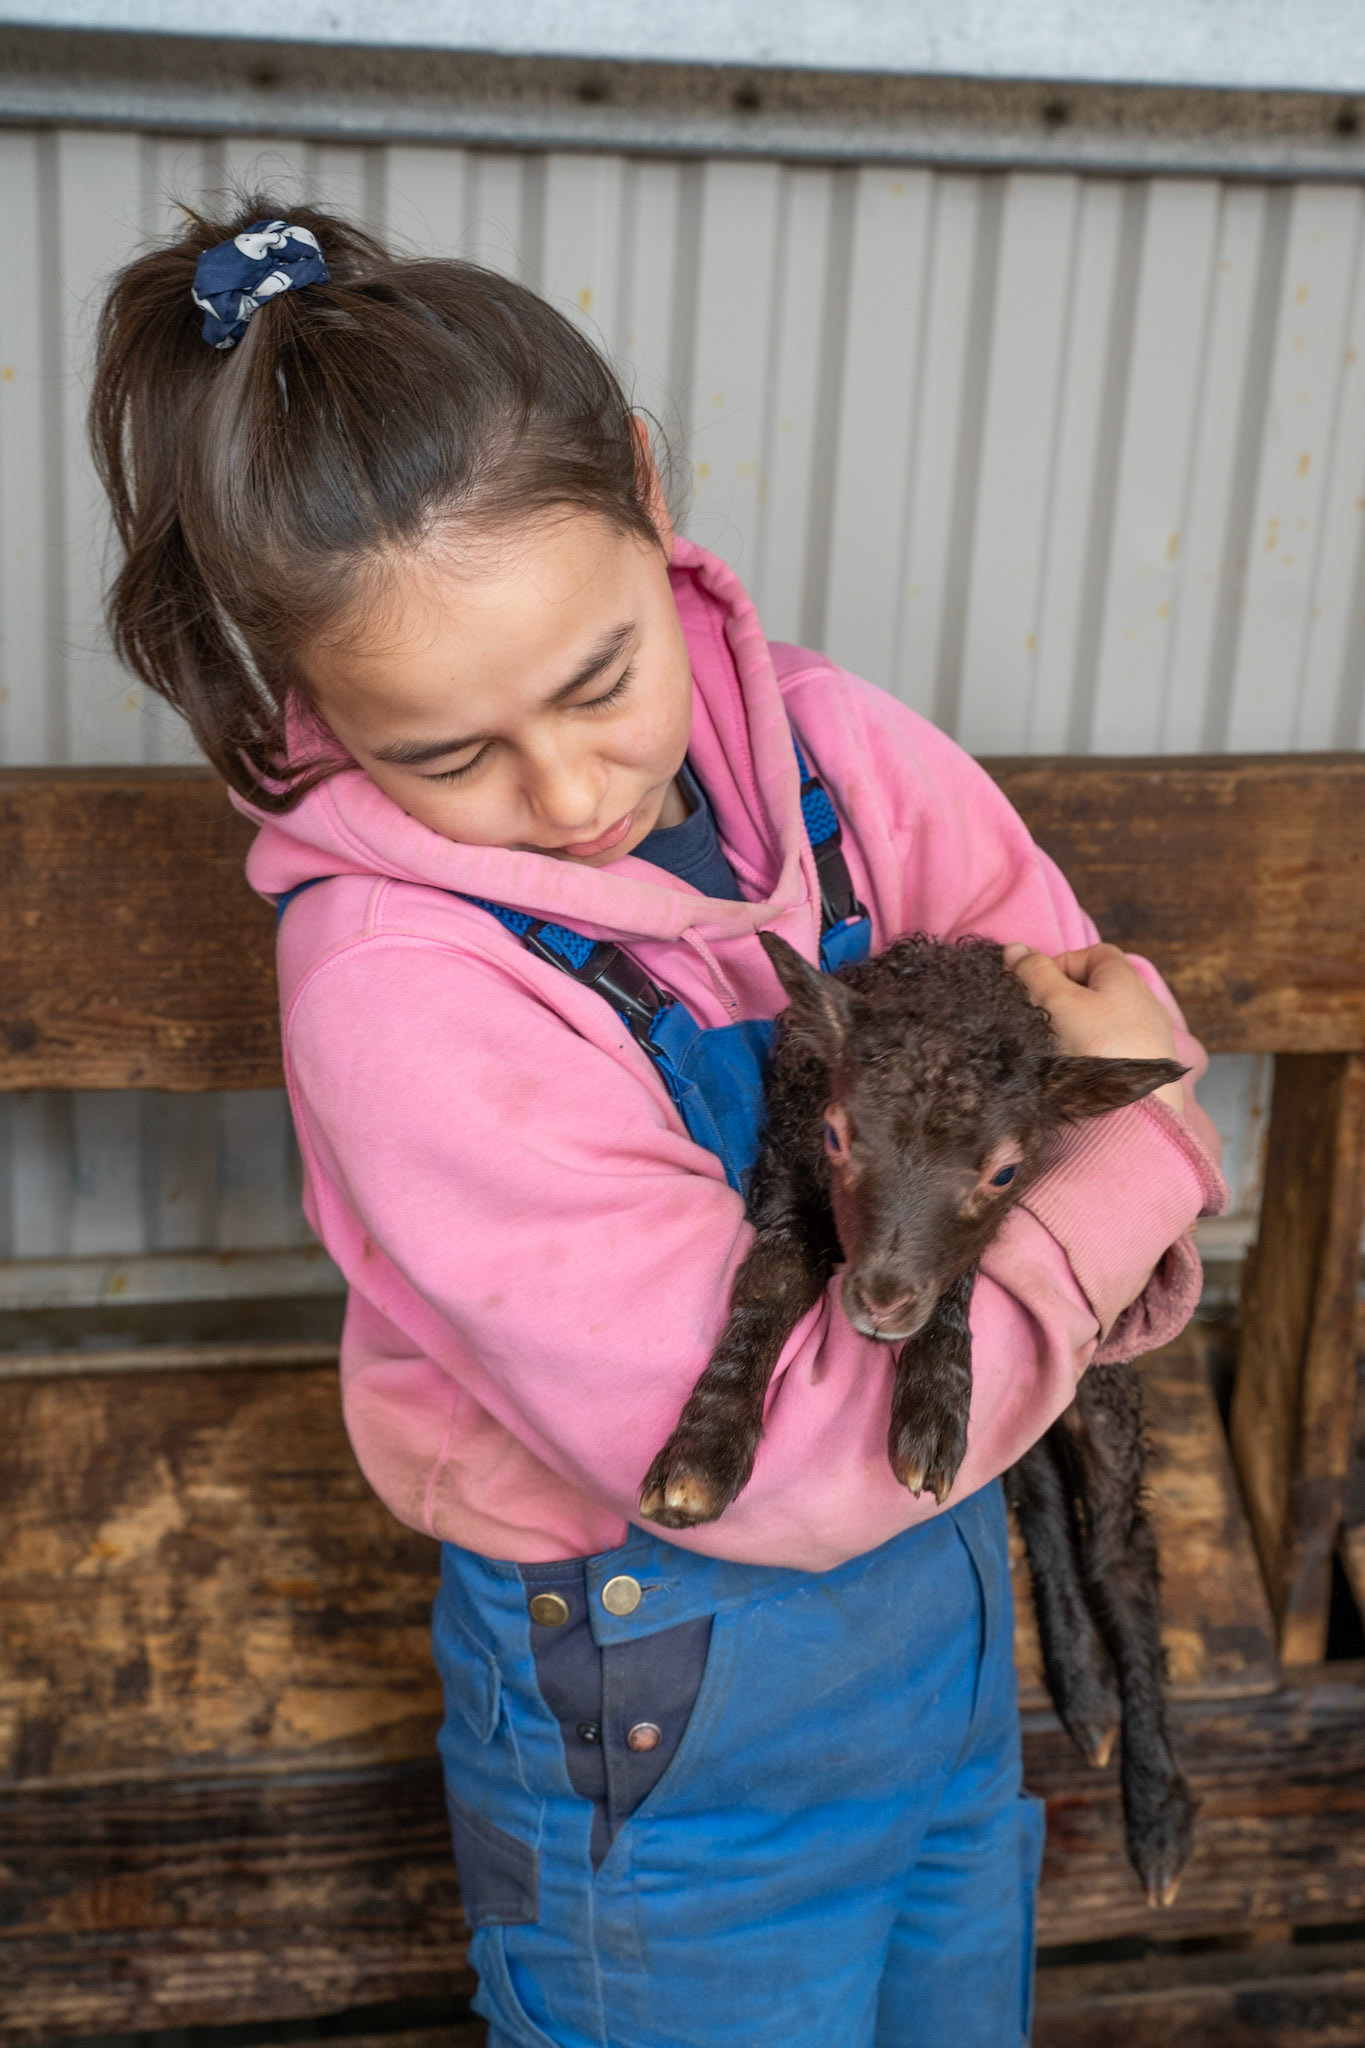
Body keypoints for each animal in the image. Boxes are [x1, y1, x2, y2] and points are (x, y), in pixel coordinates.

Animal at [639, 930, 1196, 1906]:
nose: (880, 1301)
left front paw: (931, 1397)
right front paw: (703, 1450)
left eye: (1002, 1170)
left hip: (1102, 1382)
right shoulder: (788, 1171)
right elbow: (767, 1283)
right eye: (837, 1134)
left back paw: (1155, 1805)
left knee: (1118, 1545)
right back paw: (1083, 1690)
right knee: (1039, 1496)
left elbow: (962, 1276)